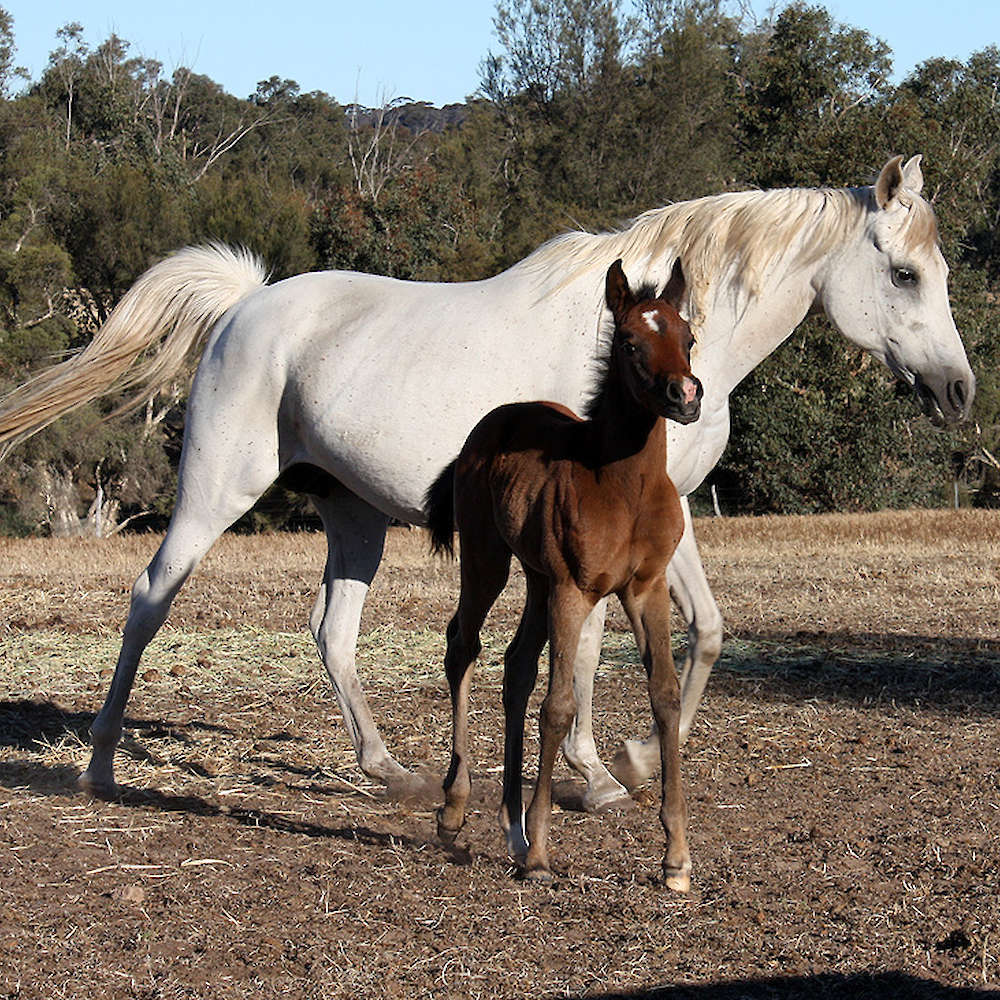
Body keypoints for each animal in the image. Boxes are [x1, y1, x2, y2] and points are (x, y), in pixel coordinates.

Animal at [0, 154, 975, 809]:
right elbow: (585, 646)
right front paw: (594, 771)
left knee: (331, 631)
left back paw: (388, 769)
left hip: (355, 518)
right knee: (149, 599)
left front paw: (636, 757)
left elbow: (705, 633)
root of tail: (247, 303)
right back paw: (98, 766)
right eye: (903, 273)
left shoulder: (672, 518)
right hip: (214, 494)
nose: (960, 391)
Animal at [425, 259, 701, 888]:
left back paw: (511, 825)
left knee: (515, 667)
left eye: (689, 337)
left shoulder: (645, 589)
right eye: (630, 342)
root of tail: (491, 424)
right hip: (489, 561)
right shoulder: (577, 590)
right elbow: (558, 707)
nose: (685, 395)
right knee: (463, 646)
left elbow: (665, 695)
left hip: (537, 578)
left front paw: (676, 858)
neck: (623, 485)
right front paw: (542, 856)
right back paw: (456, 811)